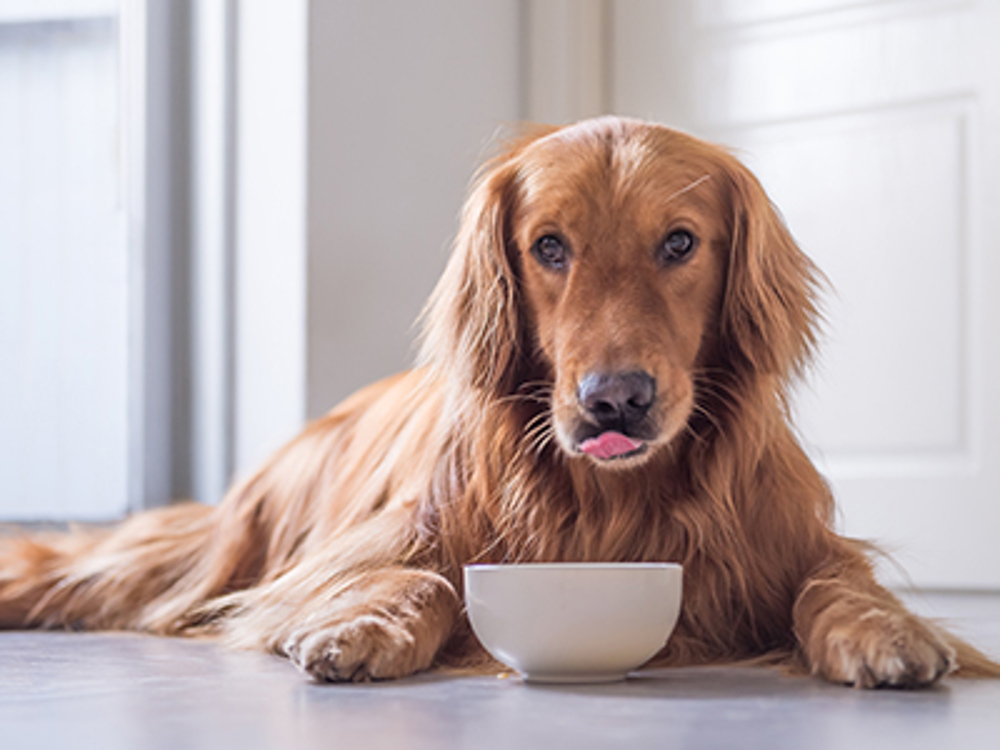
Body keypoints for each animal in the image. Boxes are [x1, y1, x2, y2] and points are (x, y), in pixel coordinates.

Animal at [1, 116, 1000, 688]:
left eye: (680, 242)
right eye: (549, 246)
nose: (615, 401)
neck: (616, 503)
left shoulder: (797, 543)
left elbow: (835, 585)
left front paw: (887, 631)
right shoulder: (363, 552)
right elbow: (423, 577)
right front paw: (365, 626)